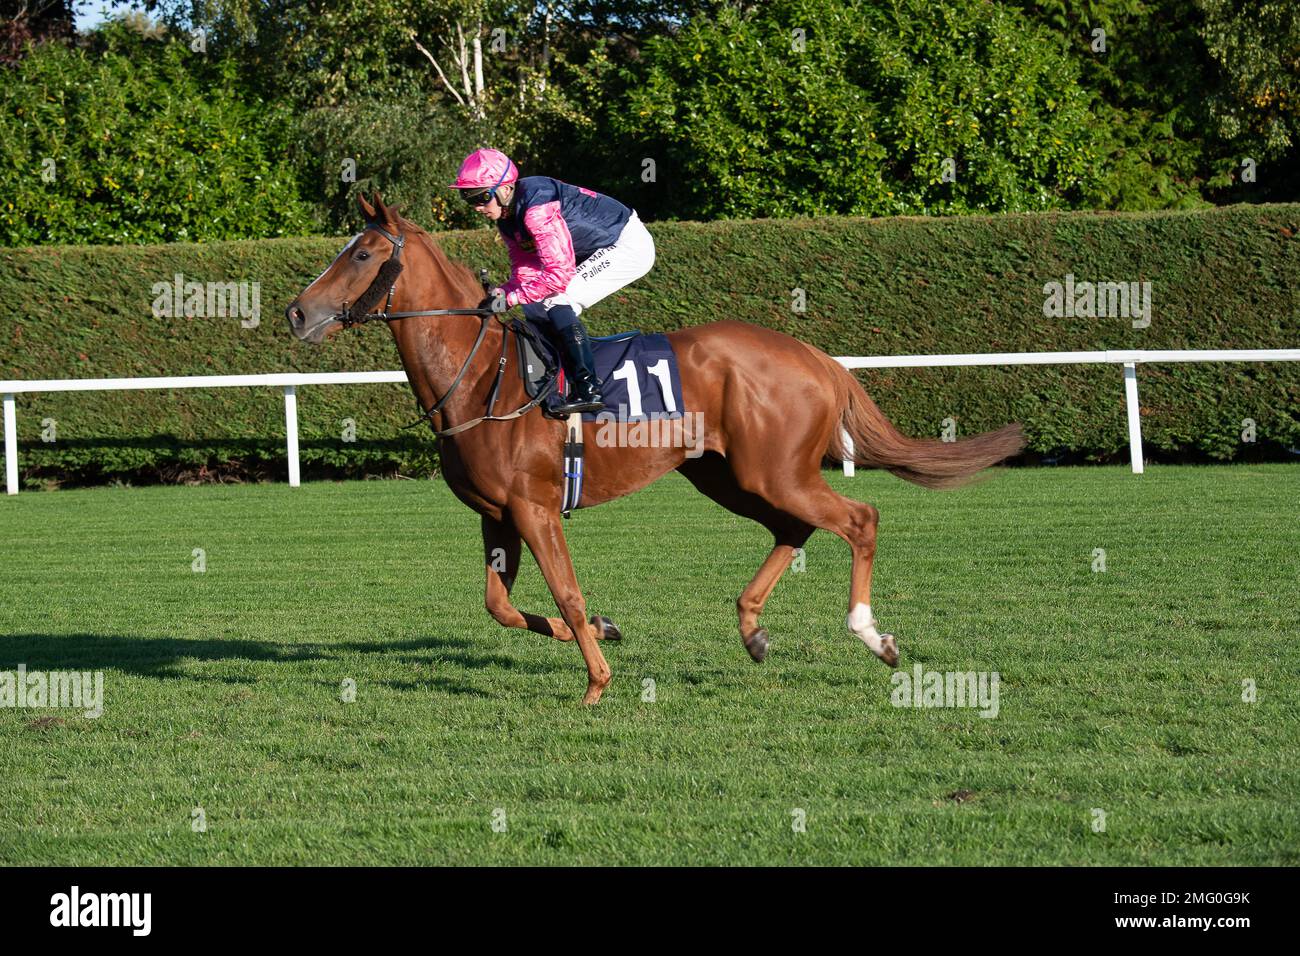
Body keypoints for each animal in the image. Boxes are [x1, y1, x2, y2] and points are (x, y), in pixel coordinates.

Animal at [286, 193, 1025, 705]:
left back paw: (873, 636)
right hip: (730, 476)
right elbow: (500, 606)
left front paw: (596, 681)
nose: (296, 312)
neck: (481, 376)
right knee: (795, 527)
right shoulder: (496, 514)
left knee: (858, 518)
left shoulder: (535, 507)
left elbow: (567, 592)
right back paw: (752, 629)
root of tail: (814, 356)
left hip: (772, 472)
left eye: (361, 254)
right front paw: (606, 630)